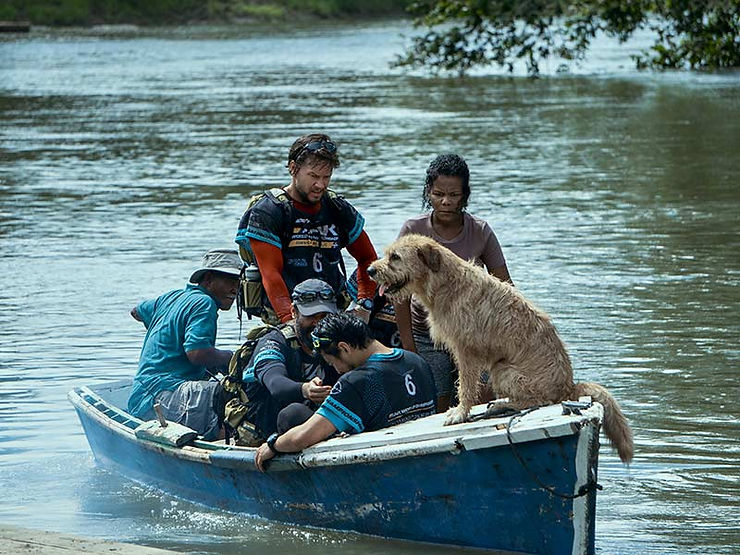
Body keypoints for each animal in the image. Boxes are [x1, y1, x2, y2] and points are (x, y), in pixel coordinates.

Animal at [372, 235, 632, 464]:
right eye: (388, 254)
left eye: (395, 257)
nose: (371, 270)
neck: (445, 283)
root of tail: (569, 387)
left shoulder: (466, 350)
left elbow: (466, 386)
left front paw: (460, 413)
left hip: (504, 370)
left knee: (538, 401)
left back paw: (502, 404)